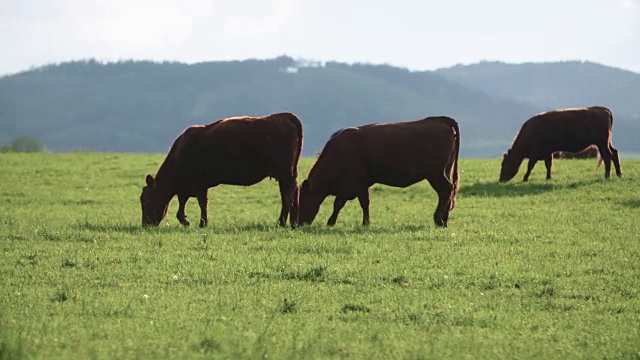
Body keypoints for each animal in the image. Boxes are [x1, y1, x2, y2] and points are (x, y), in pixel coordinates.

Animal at [139, 112, 302, 228]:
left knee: (287, 195)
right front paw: (186, 221)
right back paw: (293, 223)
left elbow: (202, 203)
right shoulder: (185, 187)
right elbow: (182, 204)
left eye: (145, 200)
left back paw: (281, 222)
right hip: (290, 173)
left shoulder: (198, 184)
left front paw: (202, 223)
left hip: (284, 173)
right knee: (295, 191)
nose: (145, 224)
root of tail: (285, 116)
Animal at [298, 116, 458, 228]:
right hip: (445, 170)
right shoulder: (353, 186)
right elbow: (350, 203)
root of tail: (440, 120)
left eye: (302, 200)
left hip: (435, 173)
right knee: (449, 192)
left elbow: (353, 203)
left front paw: (358, 223)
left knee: (446, 189)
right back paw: (444, 220)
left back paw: (438, 219)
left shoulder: (356, 182)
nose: (297, 224)